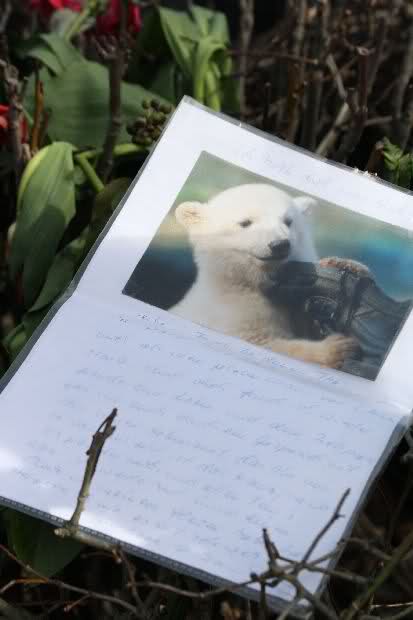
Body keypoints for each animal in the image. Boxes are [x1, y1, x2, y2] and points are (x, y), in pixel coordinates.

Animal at [170, 183, 358, 369]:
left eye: (288, 221)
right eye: (245, 222)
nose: (280, 244)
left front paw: (345, 265)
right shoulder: (234, 316)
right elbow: (264, 342)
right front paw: (335, 349)